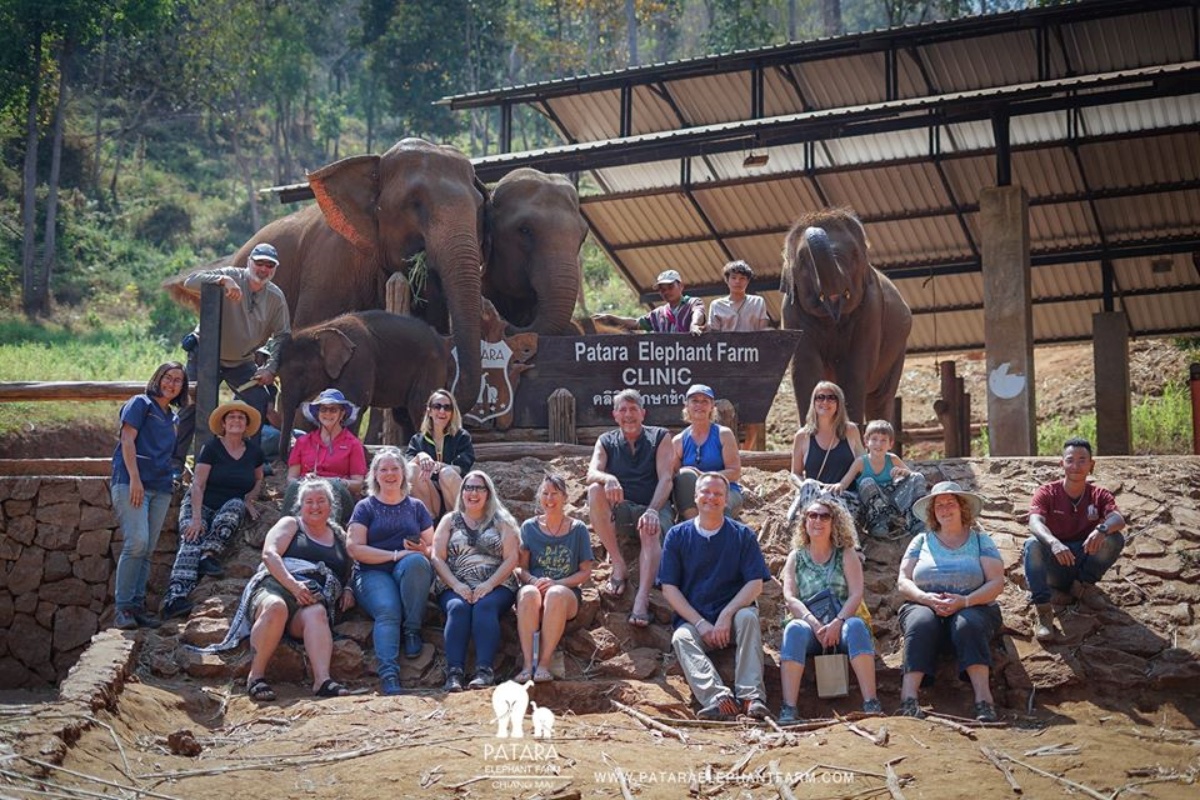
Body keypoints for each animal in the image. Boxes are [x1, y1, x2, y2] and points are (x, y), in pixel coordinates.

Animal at [276, 309, 451, 460]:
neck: (322, 329)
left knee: (418, 407)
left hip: (431, 367)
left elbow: (353, 403)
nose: (287, 454)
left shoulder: (358, 360)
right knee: (403, 415)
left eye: (301, 373)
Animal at [777, 206, 907, 424]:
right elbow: (805, 369)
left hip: (898, 349)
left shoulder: (871, 309)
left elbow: (854, 370)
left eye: (854, 254)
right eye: (803, 260)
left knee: (880, 398)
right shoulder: (791, 313)